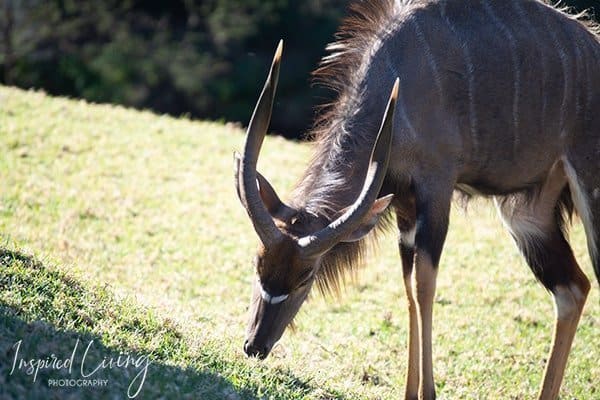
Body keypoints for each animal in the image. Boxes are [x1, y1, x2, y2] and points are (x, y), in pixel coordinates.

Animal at [233, 1, 600, 398]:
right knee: (573, 289)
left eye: (305, 276)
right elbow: (409, 287)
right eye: (257, 263)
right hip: (527, 215)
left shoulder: (436, 189)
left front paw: (428, 391)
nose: (255, 345)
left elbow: (425, 286)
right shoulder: (405, 209)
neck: (398, 77)